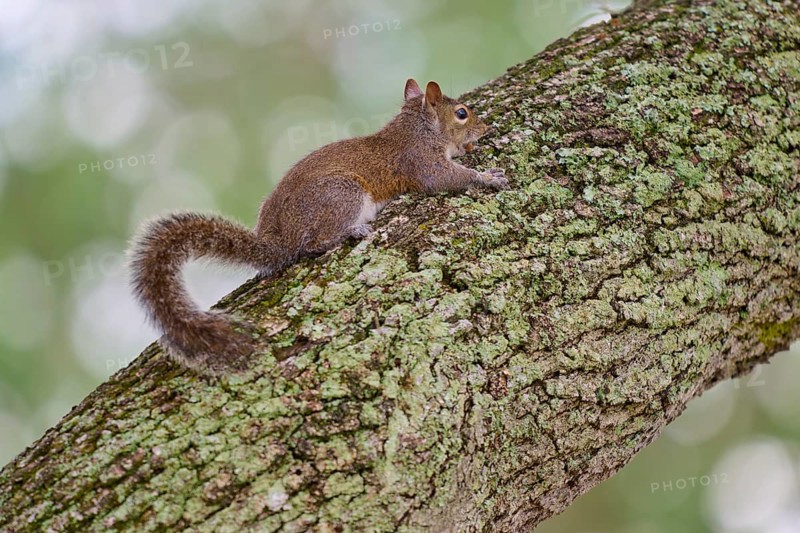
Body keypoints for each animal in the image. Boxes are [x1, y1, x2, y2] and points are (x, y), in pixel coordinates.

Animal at [130, 79, 509, 374]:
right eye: (462, 113)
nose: (486, 128)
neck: (417, 129)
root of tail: (278, 239)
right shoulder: (421, 162)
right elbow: (446, 179)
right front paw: (487, 177)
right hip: (341, 195)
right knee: (312, 244)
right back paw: (350, 232)